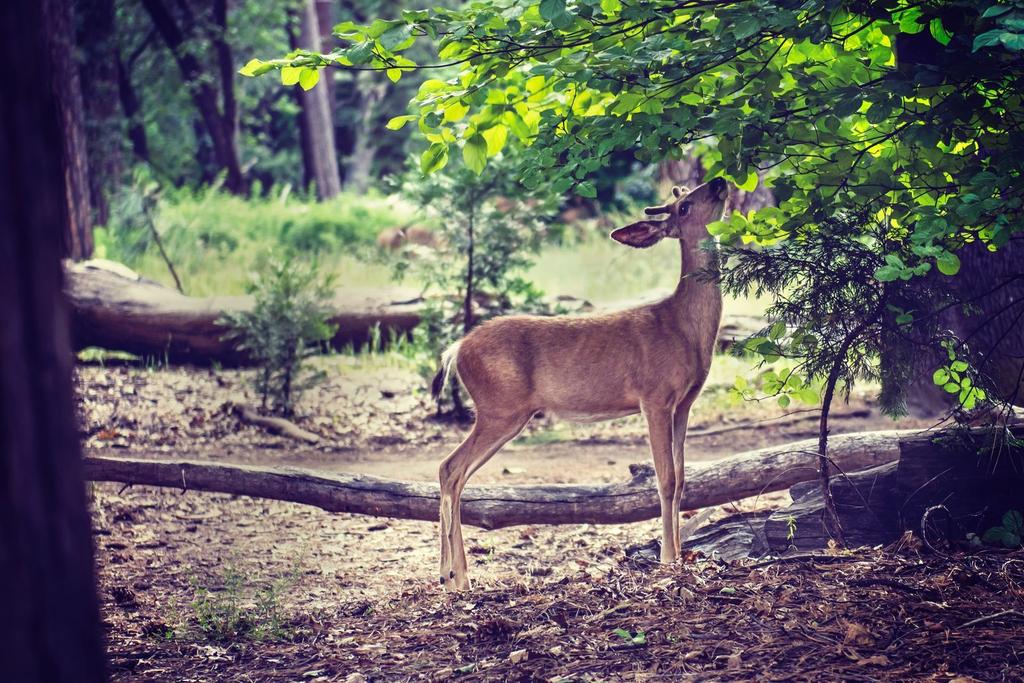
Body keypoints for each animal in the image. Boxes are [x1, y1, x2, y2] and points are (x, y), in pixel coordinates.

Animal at [432, 179, 729, 589]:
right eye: (683, 206)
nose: (719, 183)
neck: (683, 328)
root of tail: (456, 349)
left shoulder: (685, 403)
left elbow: (684, 479)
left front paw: (681, 556)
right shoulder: (654, 397)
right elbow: (665, 479)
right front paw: (669, 560)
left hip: (501, 411)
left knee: (453, 473)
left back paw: (449, 575)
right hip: (500, 408)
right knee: (450, 468)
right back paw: (458, 577)